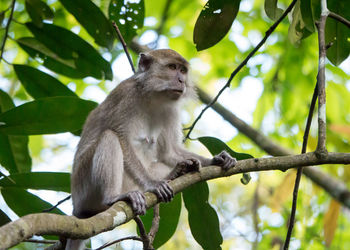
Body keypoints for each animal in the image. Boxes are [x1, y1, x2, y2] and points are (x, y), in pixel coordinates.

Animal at [67, 49, 237, 250]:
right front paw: (153, 184)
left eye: (182, 70)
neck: (153, 96)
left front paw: (216, 159)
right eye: (172, 67)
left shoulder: (171, 110)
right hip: (83, 187)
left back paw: (178, 171)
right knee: (109, 137)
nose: (181, 80)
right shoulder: (126, 96)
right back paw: (112, 197)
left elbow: (169, 152)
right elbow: (121, 138)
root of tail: (77, 211)